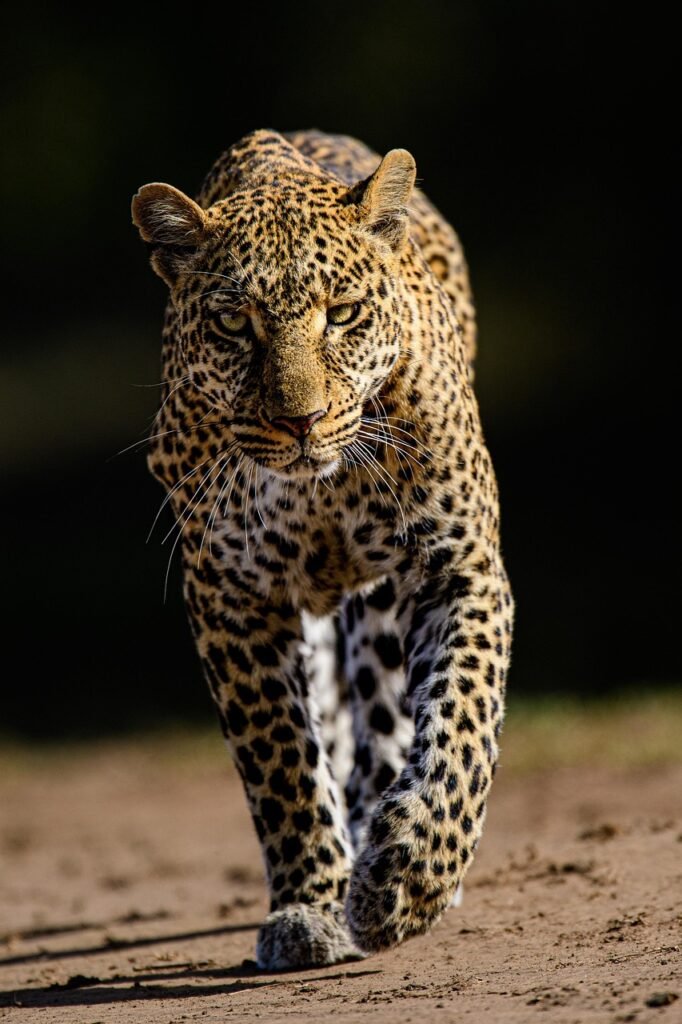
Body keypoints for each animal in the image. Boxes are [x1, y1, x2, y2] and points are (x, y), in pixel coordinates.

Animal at [131, 128, 513, 970]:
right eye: (234, 324)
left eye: (341, 314)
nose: (299, 421)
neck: (320, 491)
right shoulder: (231, 596)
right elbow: (281, 758)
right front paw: (310, 906)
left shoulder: (458, 567)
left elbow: (462, 725)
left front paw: (410, 878)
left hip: (381, 608)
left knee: (389, 716)